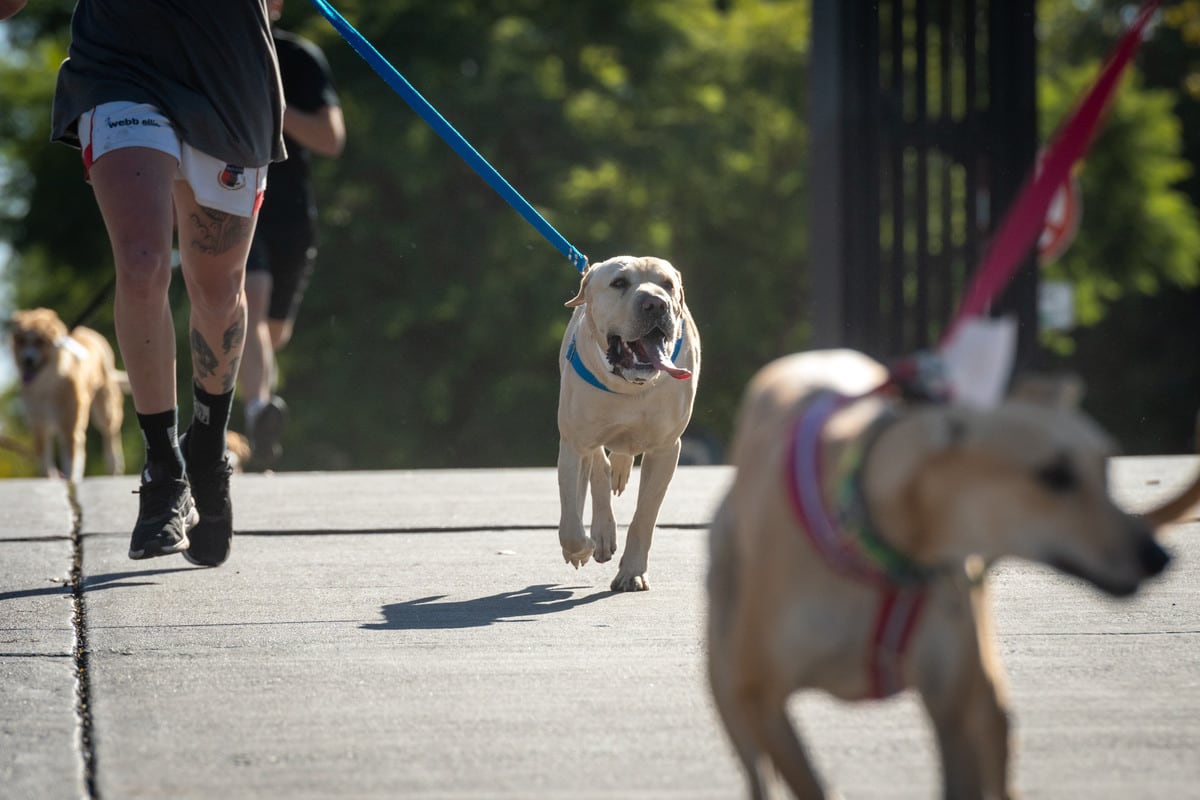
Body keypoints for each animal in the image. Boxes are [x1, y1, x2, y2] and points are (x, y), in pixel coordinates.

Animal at [9, 307, 126, 482]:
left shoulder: (70, 425)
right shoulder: (38, 424)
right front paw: (49, 479)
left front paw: (71, 480)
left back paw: (113, 467)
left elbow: (71, 462)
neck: (48, 383)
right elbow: (44, 459)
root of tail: (90, 332)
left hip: (106, 407)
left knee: (110, 436)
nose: (27, 360)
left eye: (40, 342)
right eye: (21, 341)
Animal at [705, 350, 1185, 800]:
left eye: (1106, 465)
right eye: (1054, 474)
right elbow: (805, 778)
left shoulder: (950, 707)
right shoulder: (764, 698)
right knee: (754, 766)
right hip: (726, 680)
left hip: (985, 688)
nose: (1157, 557)